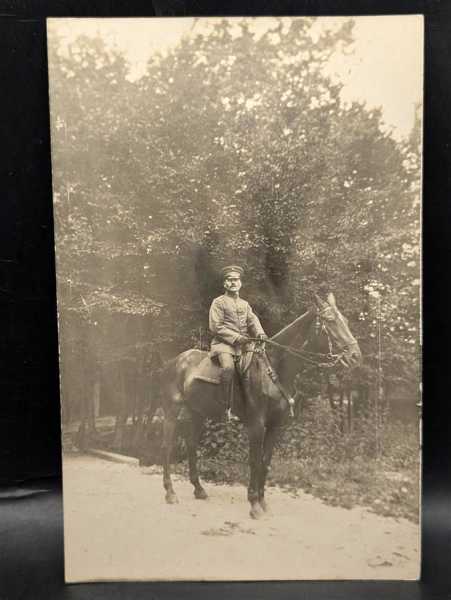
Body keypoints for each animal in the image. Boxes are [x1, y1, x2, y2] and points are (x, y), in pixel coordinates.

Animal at [157, 292, 362, 516]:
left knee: (192, 445)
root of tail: (174, 361)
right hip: (171, 412)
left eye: (347, 321)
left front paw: (262, 501)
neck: (273, 370)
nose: (355, 356)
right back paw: (170, 493)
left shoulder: (274, 426)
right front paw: (254, 504)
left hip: (198, 413)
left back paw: (199, 489)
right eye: (331, 321)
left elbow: (265, 462)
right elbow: (254, 462)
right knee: (166, 446)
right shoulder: (256, 425)